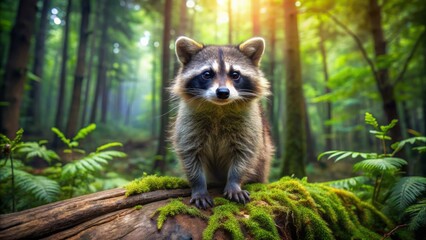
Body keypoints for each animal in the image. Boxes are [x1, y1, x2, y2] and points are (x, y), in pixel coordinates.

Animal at [170, 36, 272, 208]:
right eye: (207, 74)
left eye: (235, 74)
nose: (223, 92)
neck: (219, 108)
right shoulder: (188, 123)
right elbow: (190, 154)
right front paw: (199, 186)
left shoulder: (250, 125)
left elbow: (245, 154)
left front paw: (234, 183)